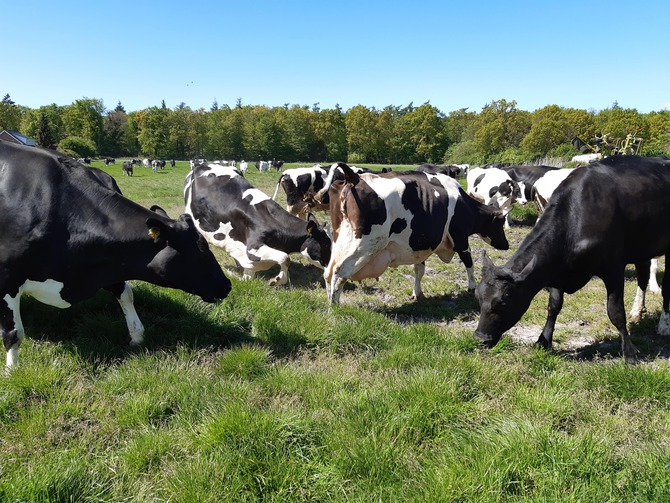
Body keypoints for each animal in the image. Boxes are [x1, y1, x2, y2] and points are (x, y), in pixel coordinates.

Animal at [0, 142, 232, 370]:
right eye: (202, 249)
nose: (228, 284)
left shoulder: (113, 262)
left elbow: (126, 294)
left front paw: (137, 336)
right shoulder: (7, 279)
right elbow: (13, 333)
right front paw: (12, 372)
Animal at [185, 163, 332, 286]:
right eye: (325, 244)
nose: (333, 269)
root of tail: (201, 164)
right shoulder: (253, 248)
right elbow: (285, 258)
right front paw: (276, 280)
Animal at [324, 164, 510, 304]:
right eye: (500, 223)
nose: (507, 245)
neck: (463, 203)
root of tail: (353, 177)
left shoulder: (421, 244)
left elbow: (419, 269)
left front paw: (417, 293)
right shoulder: (461, 239)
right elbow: (469, 262)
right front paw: (472, 287)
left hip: (340, 241)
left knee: (328, 271)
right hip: (365, 245)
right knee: (339, 271)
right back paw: (335, 307)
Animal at [476, 156, 670, 364]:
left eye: (503, 303)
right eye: (478, 298)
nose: (480, 338)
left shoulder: (613, 268)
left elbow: (615, 312)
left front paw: (630, 353)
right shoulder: (555, 269)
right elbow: (553, 306)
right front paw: (543, 340)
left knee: (665, 288)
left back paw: (664, 326)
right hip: (642, 246)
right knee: (642, 277)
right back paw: (637, 312)